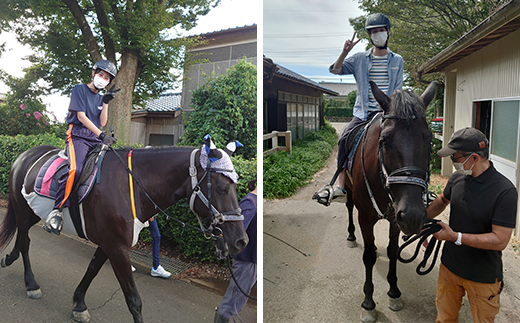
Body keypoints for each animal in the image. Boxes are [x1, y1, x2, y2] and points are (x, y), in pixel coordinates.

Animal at [0, 144, 249, 323]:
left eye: (236, 187)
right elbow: (134, 300)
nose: (241, 240)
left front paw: (79, 304)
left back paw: (9, 258)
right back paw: (31, 284)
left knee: (22, 237)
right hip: (22, 209)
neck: (134, 187)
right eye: (222, 188)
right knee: (25, 241)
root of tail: (25, 155)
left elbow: (92, 271)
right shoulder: (117, 248)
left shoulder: (108, 243)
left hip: (31, 213)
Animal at [344, 80, 436, 322]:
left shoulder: (397, 218)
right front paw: (368, 303)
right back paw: (351, 235)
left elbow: (394, 251)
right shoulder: (365, 217)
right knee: (348, 207)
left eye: (430, 139)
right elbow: (368, 256)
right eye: (384, 141)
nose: (414, 215)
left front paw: (394, 292)